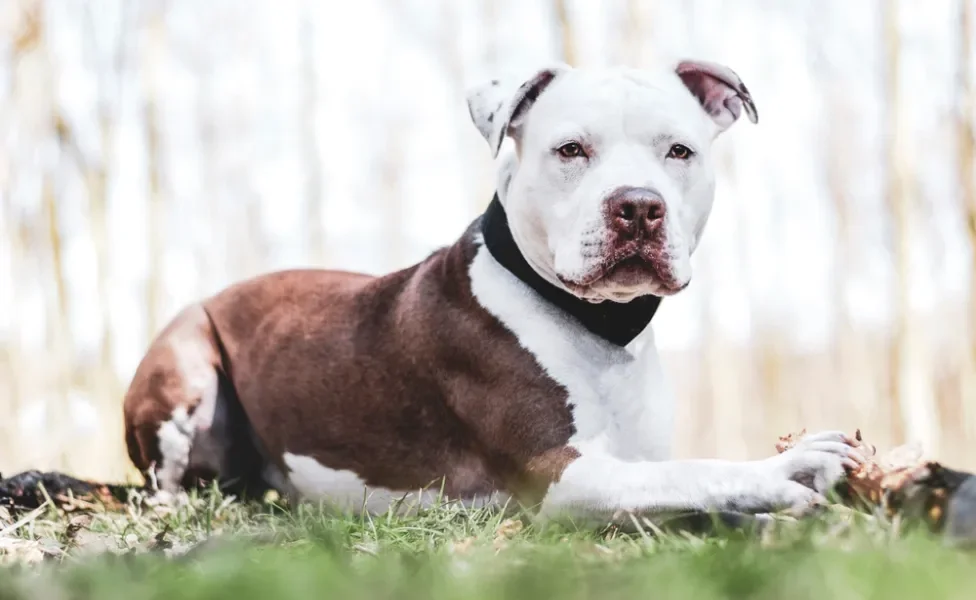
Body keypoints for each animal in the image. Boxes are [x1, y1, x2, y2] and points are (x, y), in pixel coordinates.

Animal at [124, 58, 860, 528]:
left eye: (679, 151)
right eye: (570, 150)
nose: (638, 206)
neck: (601, 329)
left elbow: (671, 475)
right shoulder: (559, 475)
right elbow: (687, 471)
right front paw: (784, 472)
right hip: (184, 363)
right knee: (158, 488)